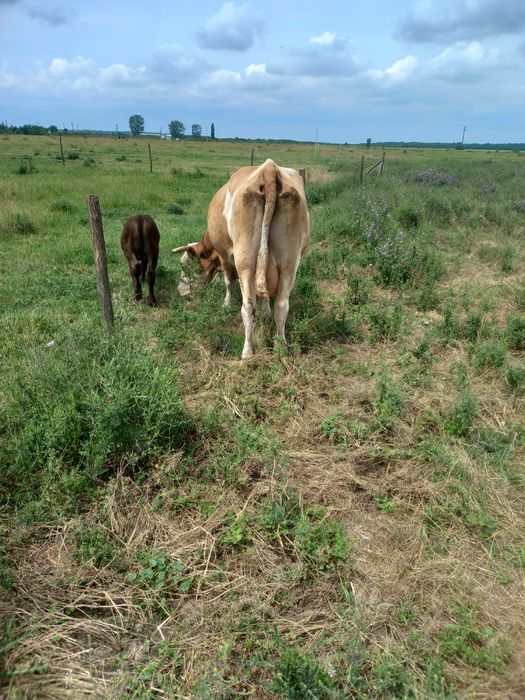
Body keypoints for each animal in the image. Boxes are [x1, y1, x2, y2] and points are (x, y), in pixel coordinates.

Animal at [172, 159, 309, 359]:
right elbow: (265, 298)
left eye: (187, 267)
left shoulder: (224, 255)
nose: (180, 292)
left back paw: (247, 353)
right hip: (289, 264)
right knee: (282, 306)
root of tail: (269, 168)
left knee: (248, 307)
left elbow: (229, 282)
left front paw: (226, 304)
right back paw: (280, 348)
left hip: (246, 263)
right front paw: (266, 313)